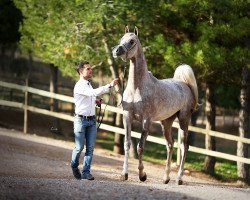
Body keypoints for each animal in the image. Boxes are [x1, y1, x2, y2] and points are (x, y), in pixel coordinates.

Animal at [112, 26, 198, 184]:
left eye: (132, 41)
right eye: (121, 38)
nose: (117, 50)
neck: (137, 88)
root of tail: (185, 85)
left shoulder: (146, 121)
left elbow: (140, 147)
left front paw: (142, 175)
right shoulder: (127, 117)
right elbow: (127, 144)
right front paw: (124, 174)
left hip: (184, 121)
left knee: (184, 147)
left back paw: (179, 178)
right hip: (166, 123)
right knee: (170, 144)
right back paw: (166, 177)